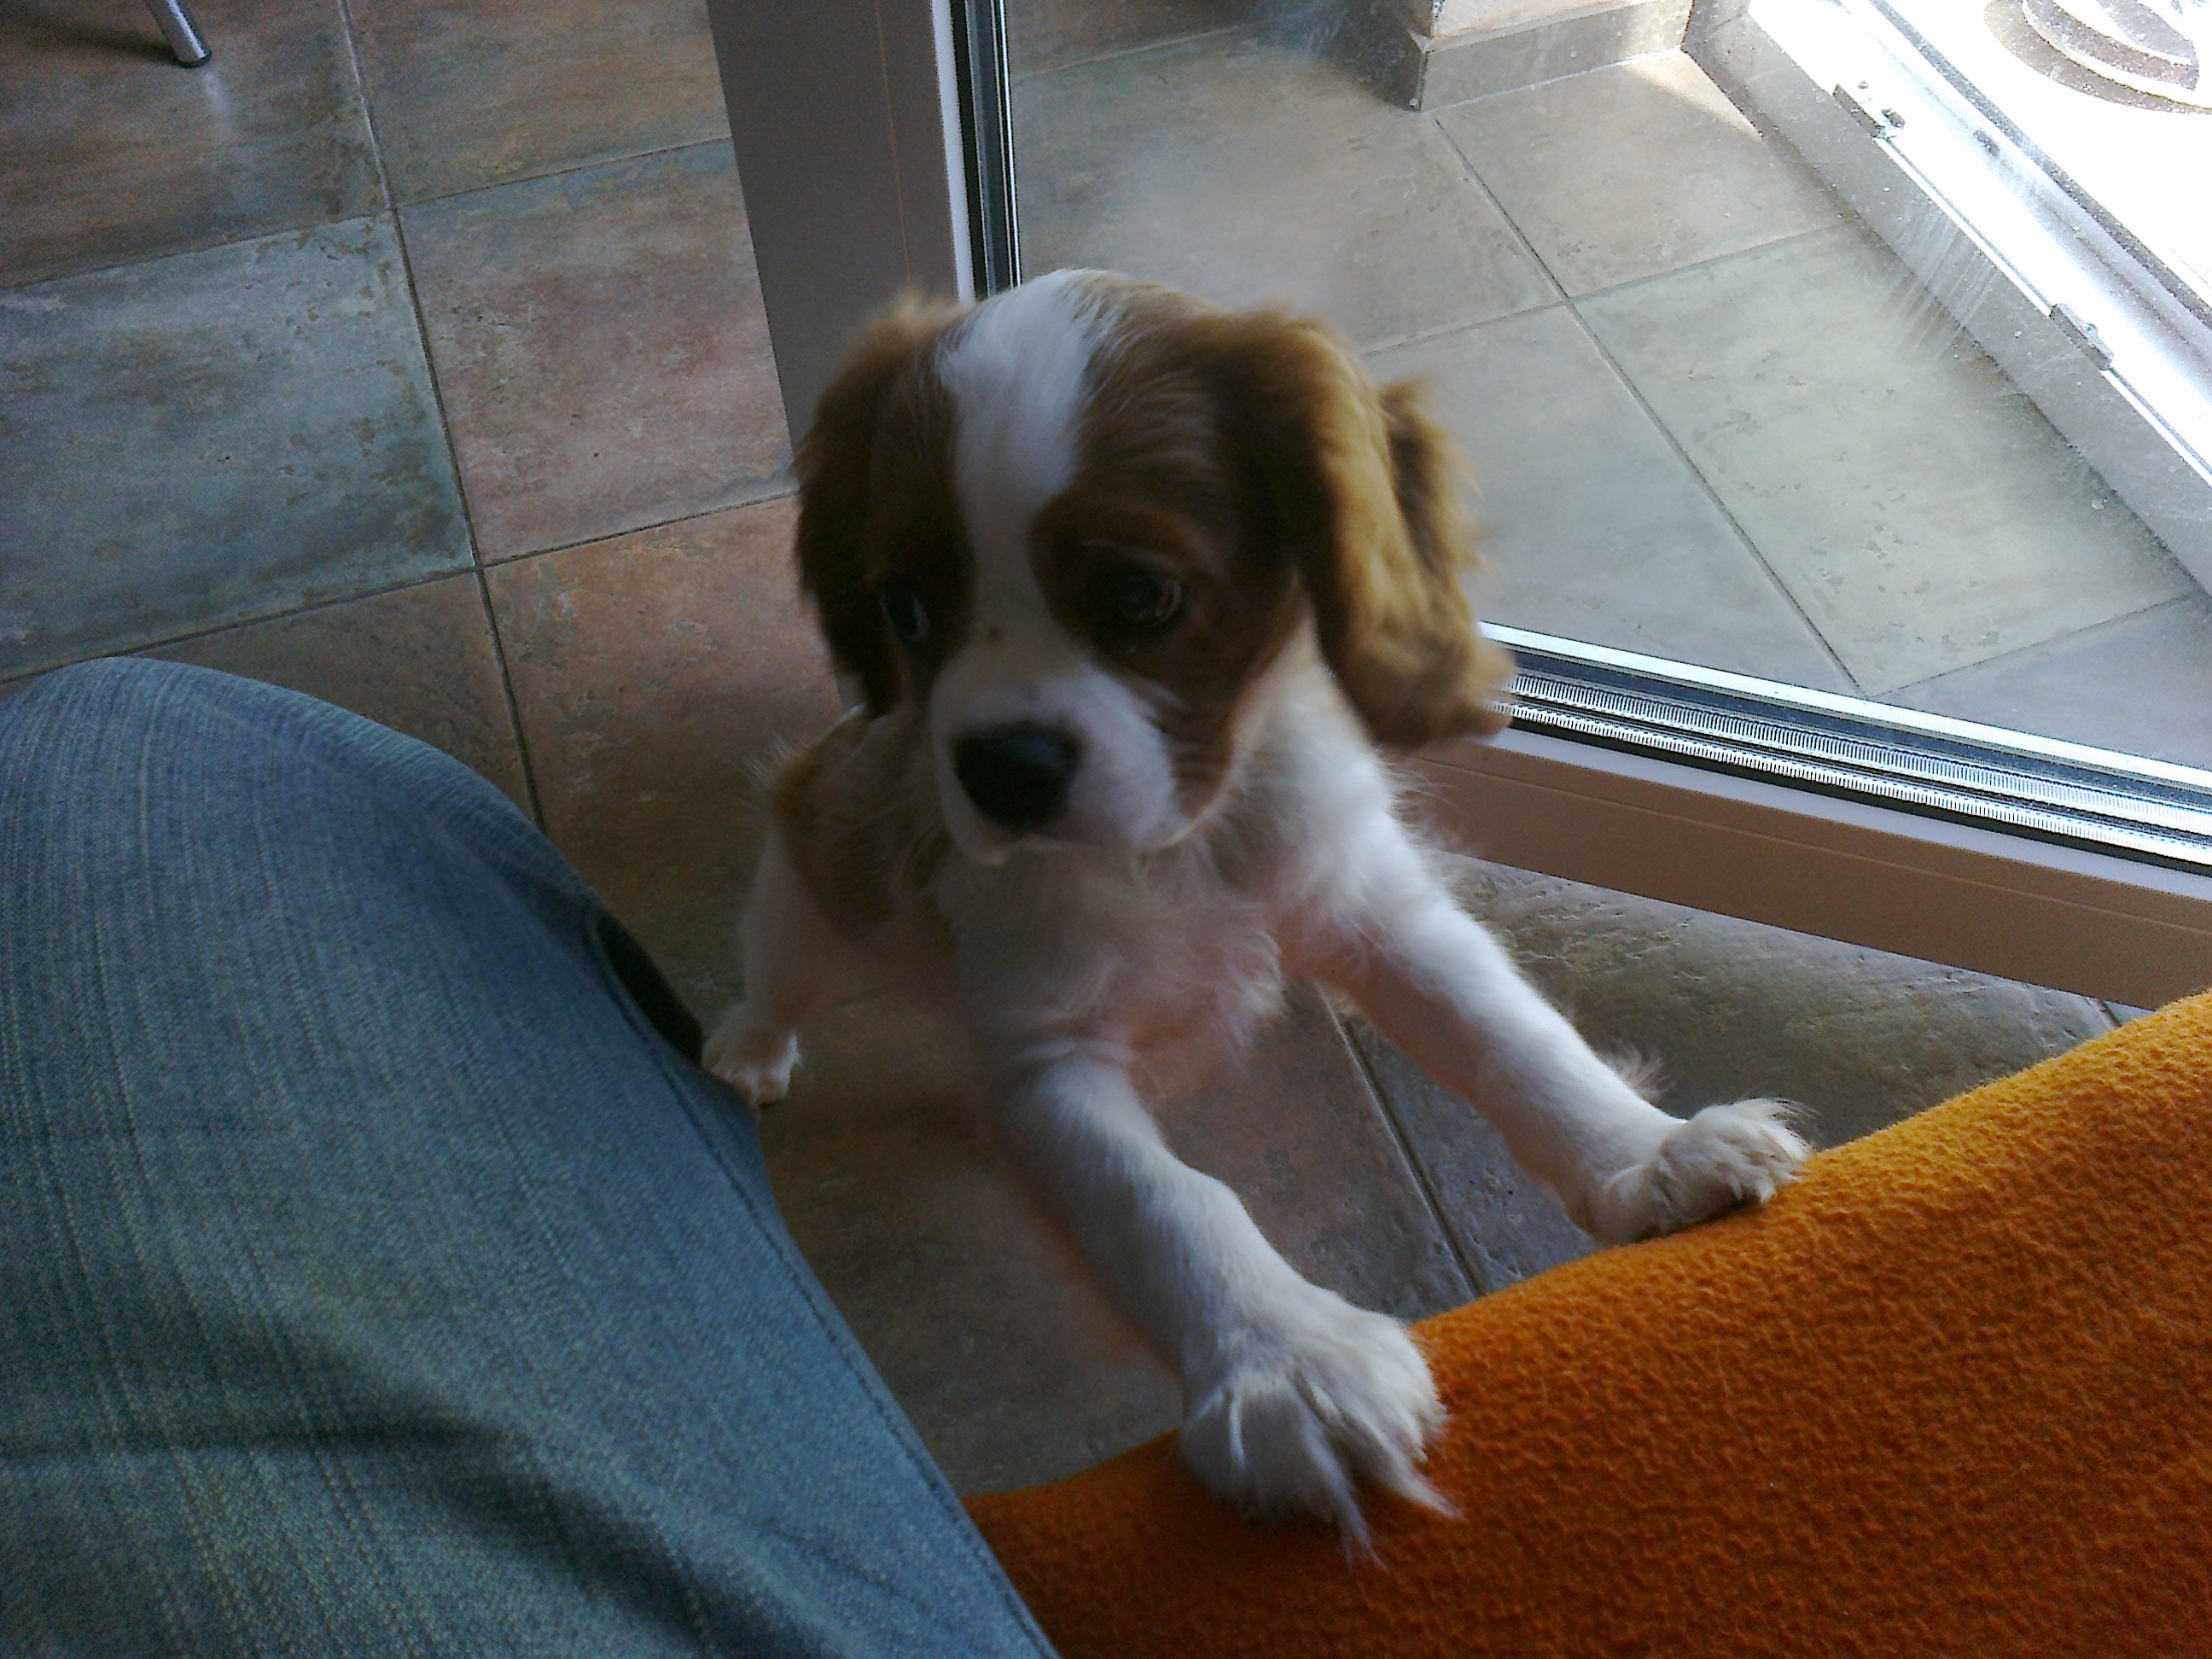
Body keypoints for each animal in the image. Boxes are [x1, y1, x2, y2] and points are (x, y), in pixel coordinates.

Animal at [705, 269, 1808, 1543]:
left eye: (1140, 595)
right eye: (903, 608)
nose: (998, 769)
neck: (1185, 839)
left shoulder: (1372, 913)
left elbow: (1510, 1036)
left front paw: (1650, 1154)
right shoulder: (1049, 1062)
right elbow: (1168, 1202)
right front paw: (1291, 1363)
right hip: (814, 877)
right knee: (777, 964)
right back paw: (745, 1050)